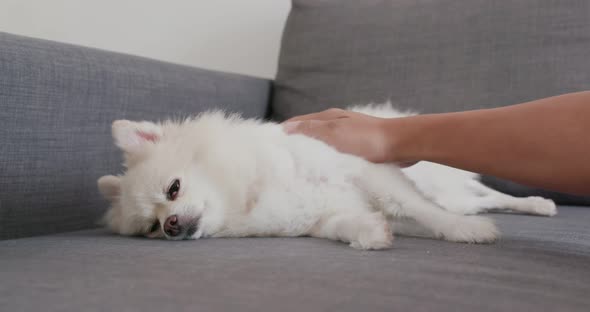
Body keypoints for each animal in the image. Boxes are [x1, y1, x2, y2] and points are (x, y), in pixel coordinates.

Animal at [98, 103, 560, 250]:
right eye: (152, 227)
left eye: (173, 189)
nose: (172, 226)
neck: (251, 194)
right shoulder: (323, 217)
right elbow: (346, 225)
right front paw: (371, 234)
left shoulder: (371, 174)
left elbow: (419, 208)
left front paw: (465, 232)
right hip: (458, 193)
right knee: (482, 198)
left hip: (451, 188)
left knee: (487, 196)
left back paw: (535, 204)